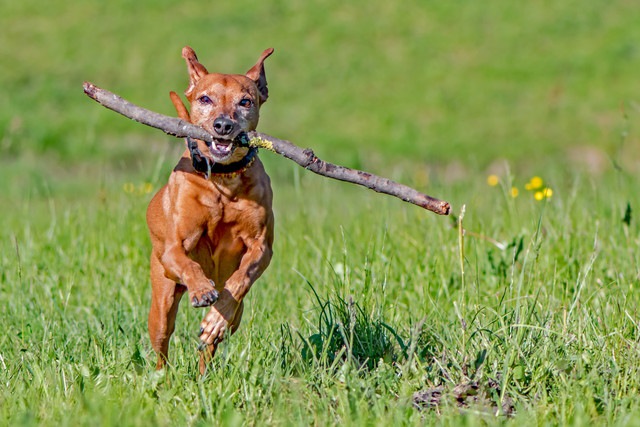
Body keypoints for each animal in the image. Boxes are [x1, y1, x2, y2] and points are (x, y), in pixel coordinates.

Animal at [146, 47, 276, 374]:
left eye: (245, 101)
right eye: (205, 99)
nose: (223, 125)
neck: (223, 180)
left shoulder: (261, 246)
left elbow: (240, 280)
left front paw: (215, 318)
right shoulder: (175, 246)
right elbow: (188, 263)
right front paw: (203, 289)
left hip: (237, 318)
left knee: (214, 339)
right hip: (162, 298)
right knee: (162, 342)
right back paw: (163, 377)